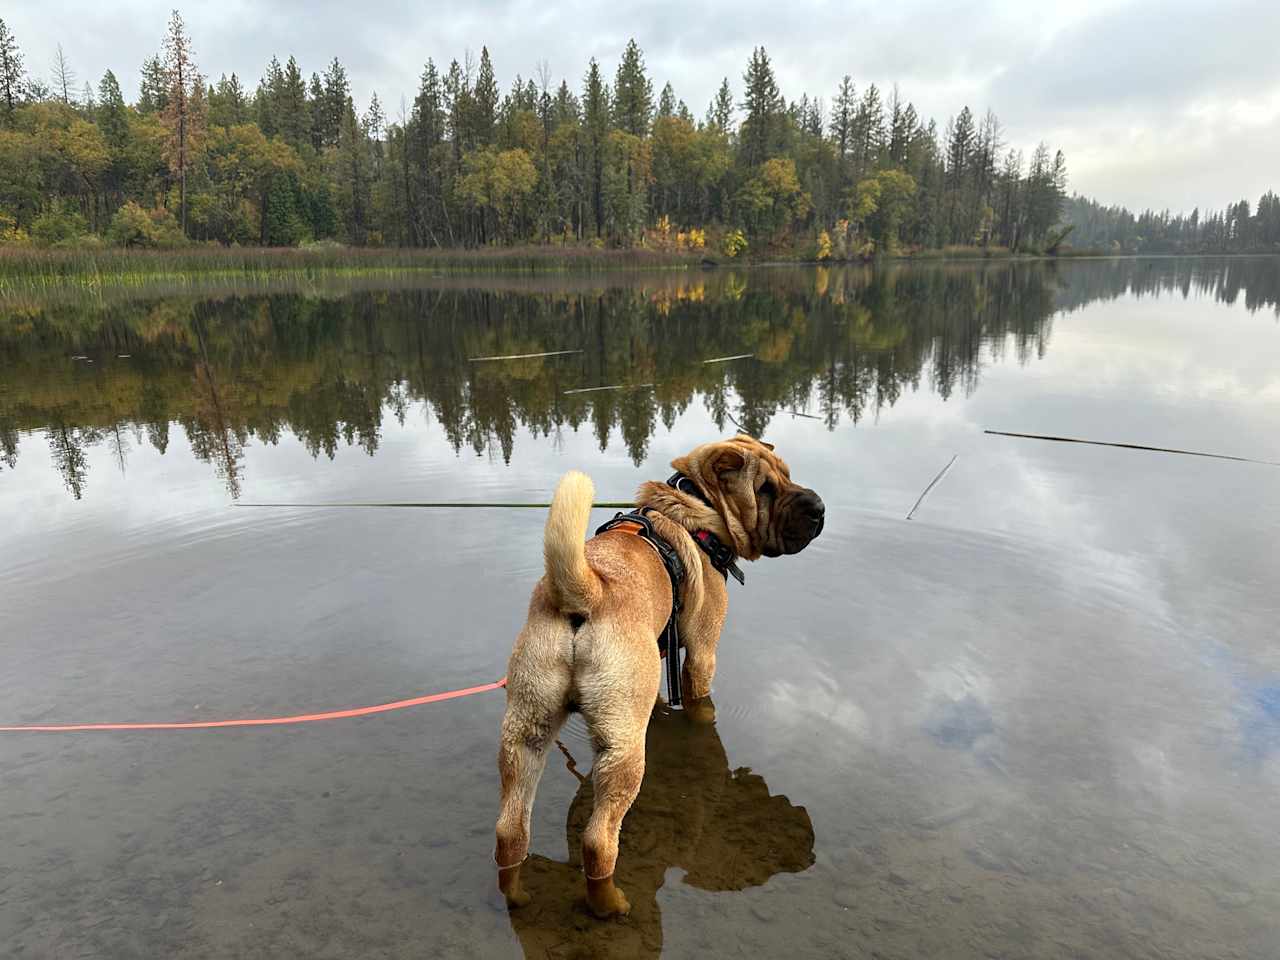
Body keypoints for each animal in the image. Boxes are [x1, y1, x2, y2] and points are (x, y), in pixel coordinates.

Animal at [494, 435, 824, 916]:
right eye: (764, 488)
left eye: (787, 473)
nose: (819, 507)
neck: (696, 507)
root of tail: (585, 590)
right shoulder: (702, 653)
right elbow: (700, 702)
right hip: (623, 748)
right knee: (598, 841)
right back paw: (612, 905)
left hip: (527, 731)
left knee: (510, 829)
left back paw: (517, 894)